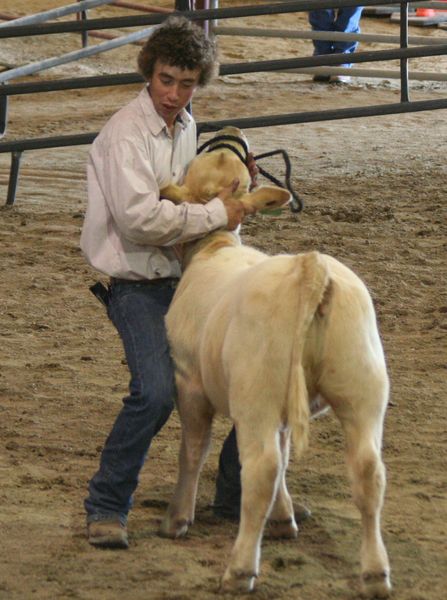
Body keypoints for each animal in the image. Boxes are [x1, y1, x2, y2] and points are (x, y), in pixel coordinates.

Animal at [159, 129, 390, 596]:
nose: (230, 136)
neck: (214, 247)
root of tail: (309, 267)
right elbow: (285, 456)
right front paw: (285, 519)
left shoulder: (188, 380)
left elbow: (193, 449)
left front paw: (177, 518)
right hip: (363, 385)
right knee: (368, 472)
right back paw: (375, 573)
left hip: (257, 393)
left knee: (261, 469)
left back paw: (240, 569)